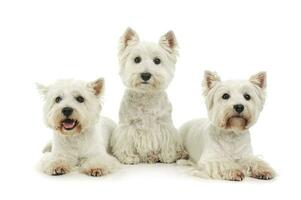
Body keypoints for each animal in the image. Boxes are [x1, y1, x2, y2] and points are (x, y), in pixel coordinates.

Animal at [110, 27, 185, 164]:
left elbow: (168, 140)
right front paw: (128, 157)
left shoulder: (164, 124)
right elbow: (125, 141)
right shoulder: (127, 125)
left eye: (157, 61)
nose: (145, 75)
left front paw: (168, 156)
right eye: (137, 59)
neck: (146, 95)